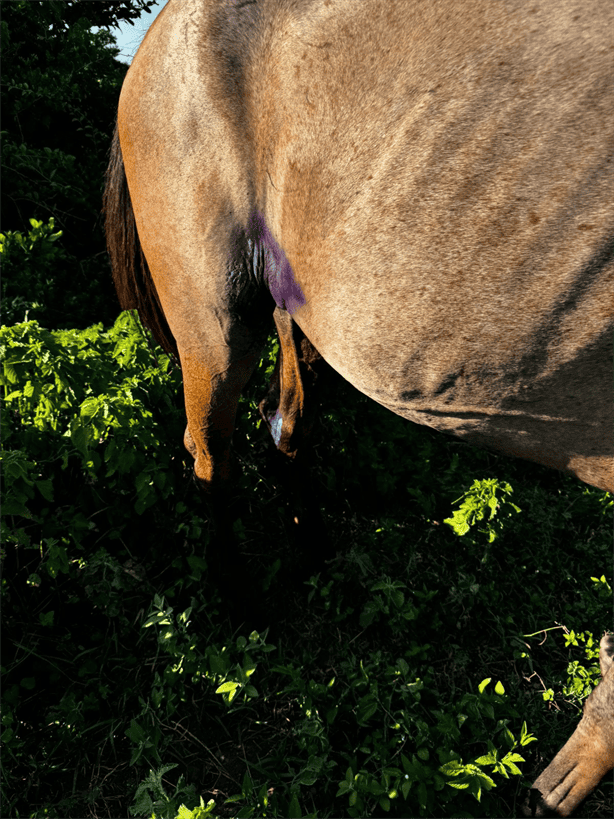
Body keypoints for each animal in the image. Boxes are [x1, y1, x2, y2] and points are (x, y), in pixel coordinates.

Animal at [103, 0, 612, 812]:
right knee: (211, 450)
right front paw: (552, 790)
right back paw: (239, 596)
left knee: (284, 426)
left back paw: (312, 549)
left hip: (298, 311)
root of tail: (158, 33)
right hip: (215, 321)